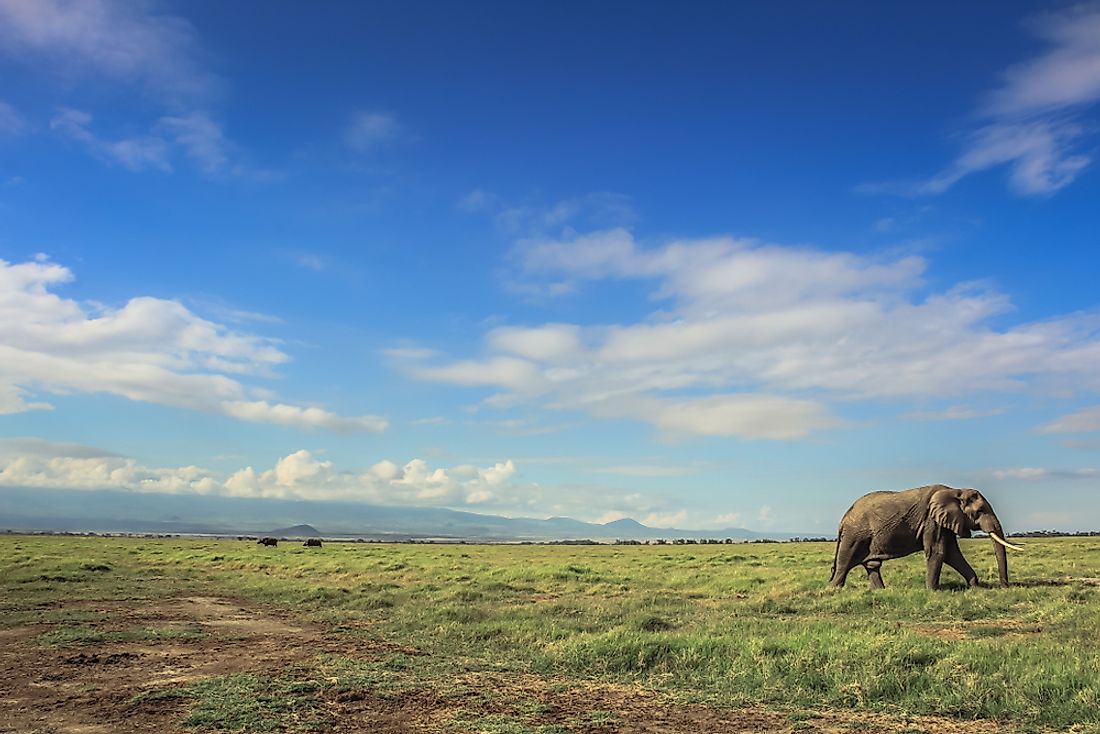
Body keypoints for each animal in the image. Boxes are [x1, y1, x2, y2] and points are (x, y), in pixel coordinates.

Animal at [831, 488, 1020, 589]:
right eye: (980, 511)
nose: (1005, 587)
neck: (955, 490)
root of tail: (844, 517)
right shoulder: (932, 521)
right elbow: (938, 551)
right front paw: (932, 591)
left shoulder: (944, 523)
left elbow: (952, 554)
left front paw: (974, 587)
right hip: (855, 535)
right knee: (844, 564)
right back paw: (833, 590)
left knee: (871, 565)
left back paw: (881, 591)